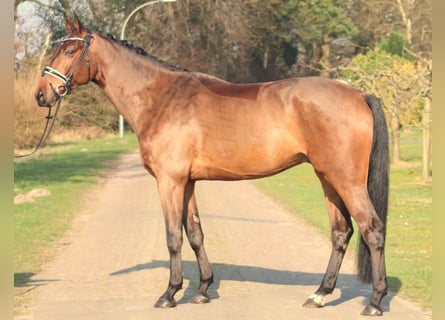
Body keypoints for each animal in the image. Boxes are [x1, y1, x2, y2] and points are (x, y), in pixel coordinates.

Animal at [34, 14, 386, 316]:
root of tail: (359, 94)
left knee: (372, 229)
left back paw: (374, 301)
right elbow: (195, 233)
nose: (41, 94)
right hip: (327, 178)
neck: (162, 99)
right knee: (341, 232)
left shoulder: (169, 181)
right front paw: (202, 290)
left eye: (69, 50)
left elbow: (173, 236)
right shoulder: (188, 182)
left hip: (347, 181)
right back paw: (319, 295)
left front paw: (169, 293)